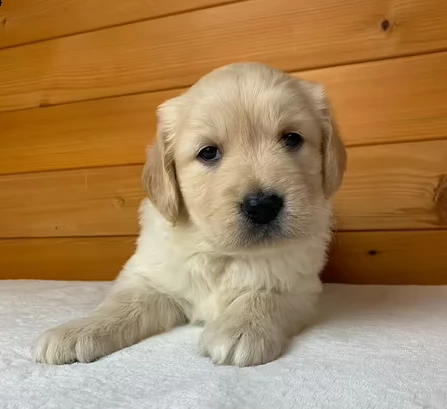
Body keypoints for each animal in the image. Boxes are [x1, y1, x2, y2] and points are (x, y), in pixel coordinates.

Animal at [33, 62, 346, 367]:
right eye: (208, 153)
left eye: (292, 139)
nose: (262, 206)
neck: (220, 253)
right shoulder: (150, 279)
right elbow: (122, 303)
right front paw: (78, 329)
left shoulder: (299, 287)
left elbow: (264, 295)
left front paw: (241, 328)